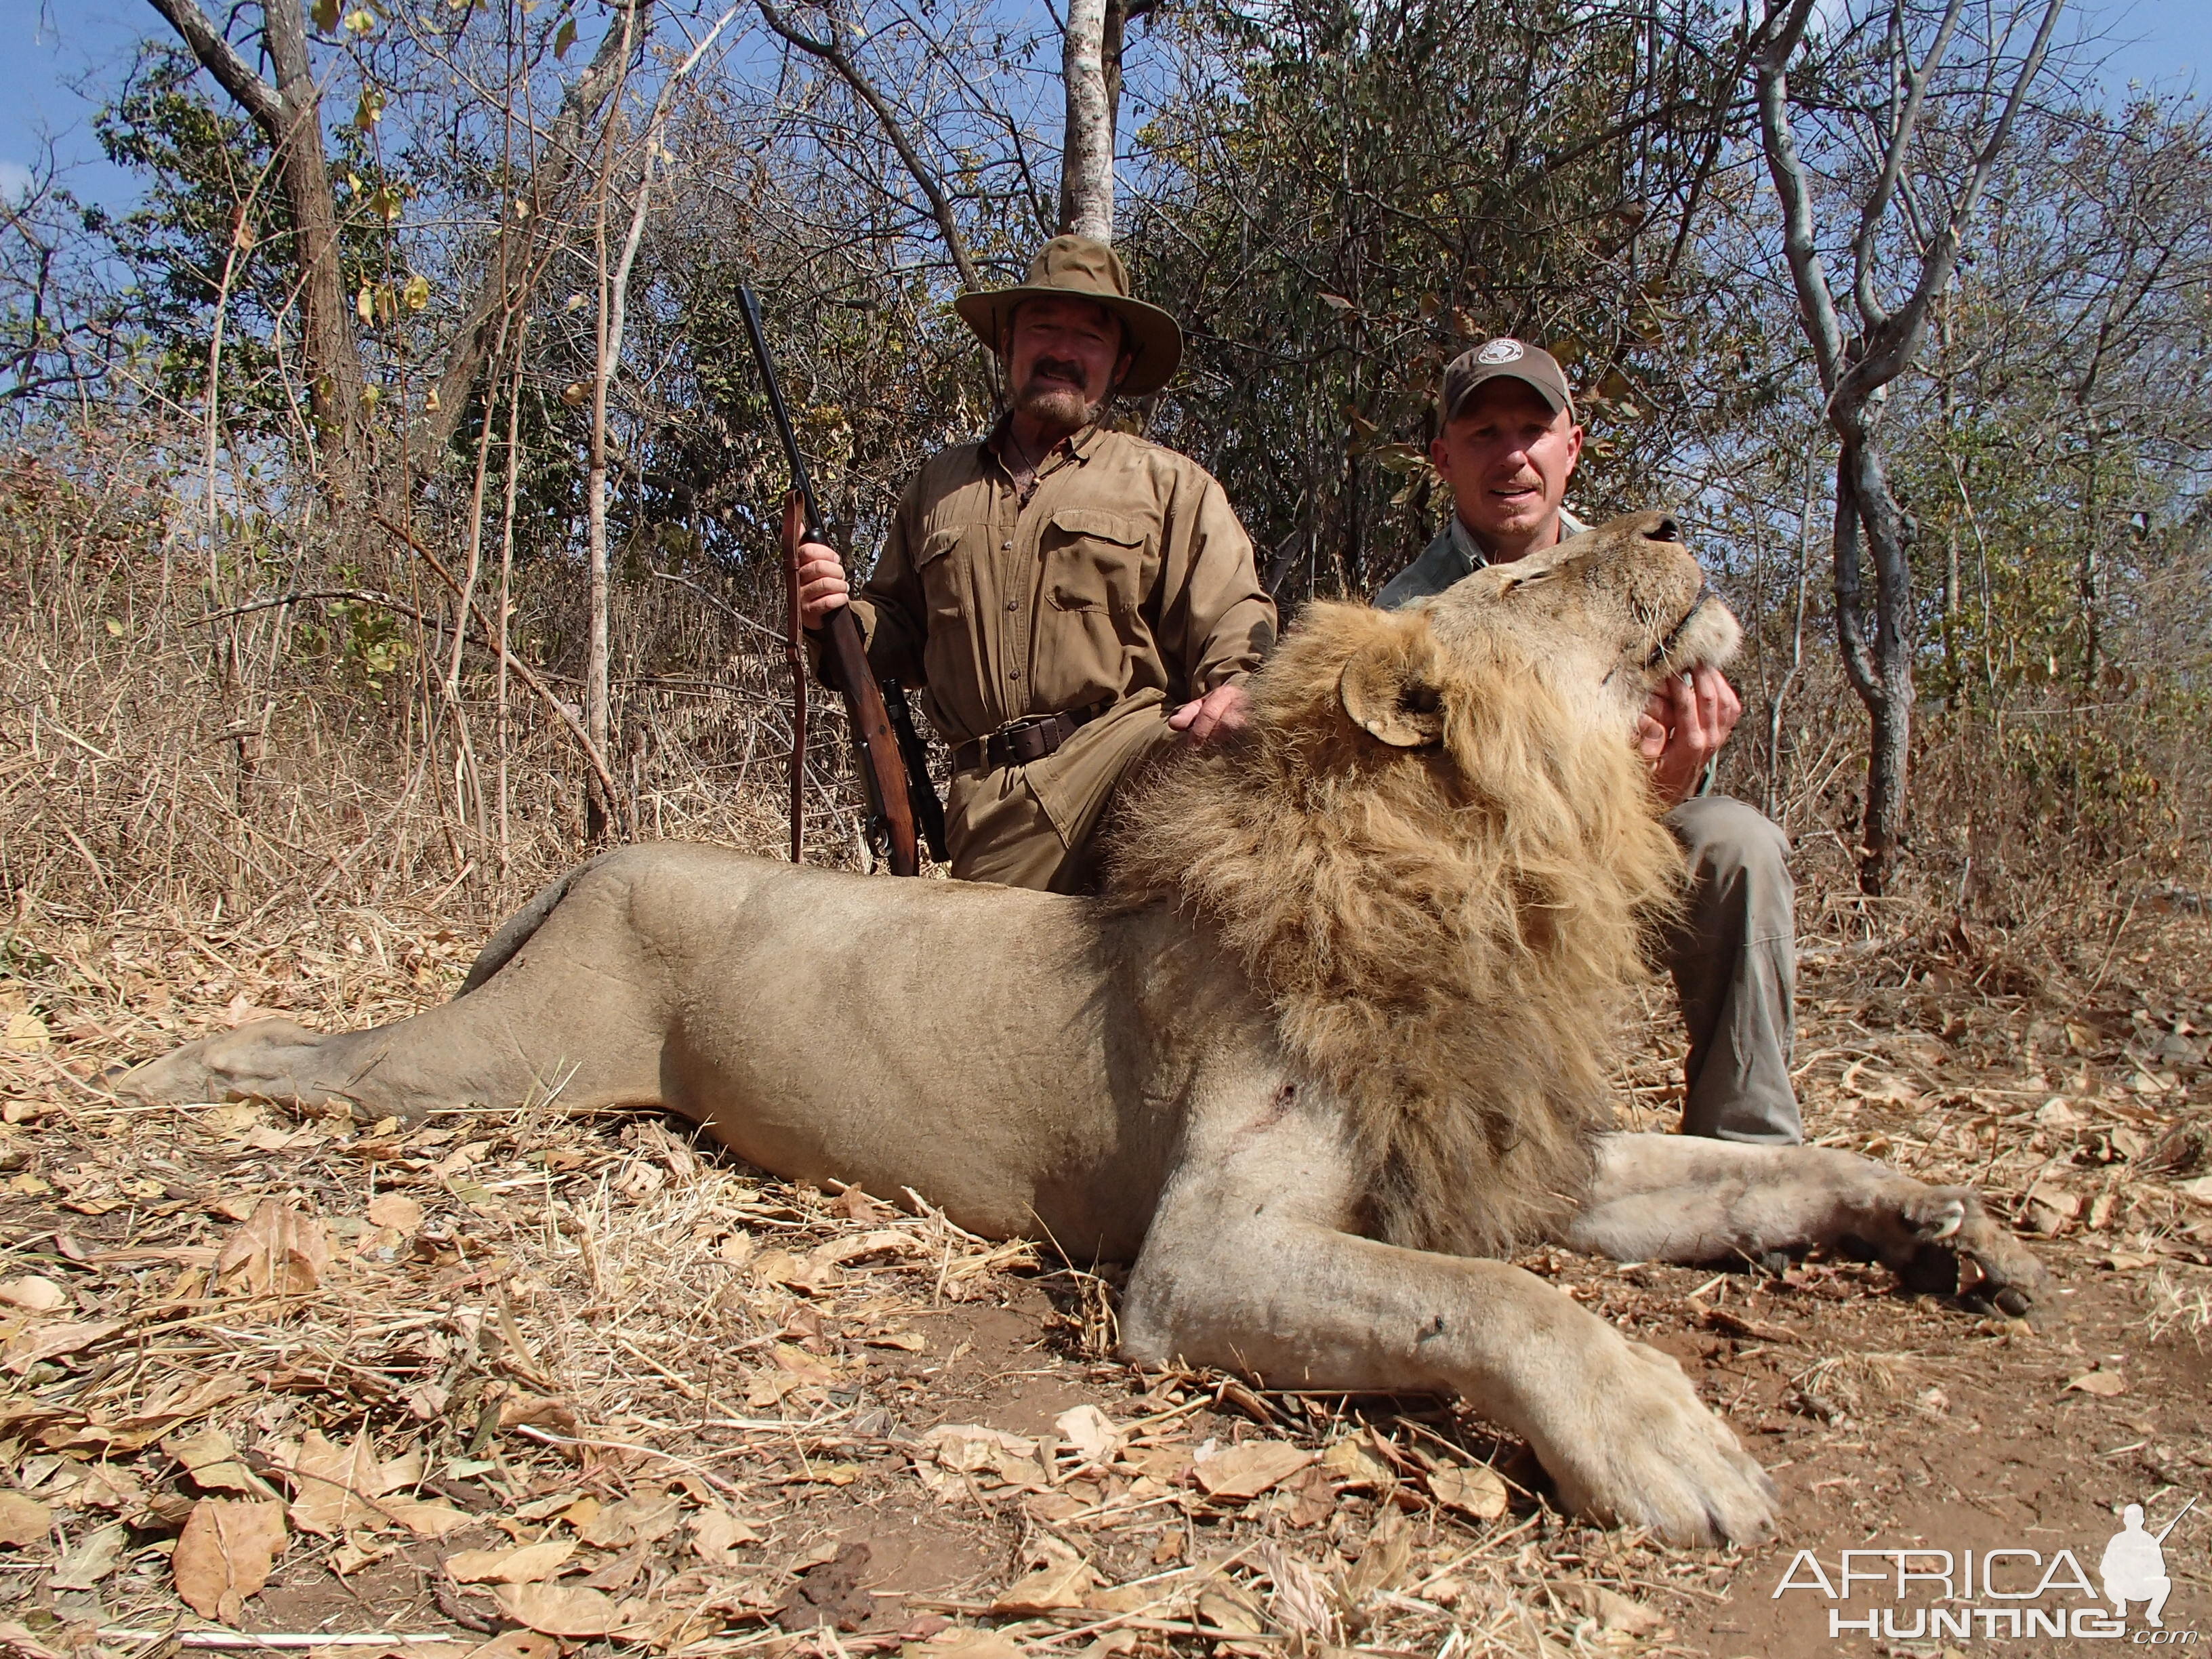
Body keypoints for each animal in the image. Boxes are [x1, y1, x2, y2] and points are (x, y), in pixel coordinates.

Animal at [117, 513, 2034, 1557]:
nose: (1667, 523)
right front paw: (1671, 1444)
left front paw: (1951, 1224)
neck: (1495, 870)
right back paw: (159, 1076)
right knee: (309, 1052)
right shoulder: (1195, 1258)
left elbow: (1748, 1175)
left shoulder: (1510, 1148)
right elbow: (1498, 1301)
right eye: (1532, 574)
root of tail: (600, 849)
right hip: (497, 1068)